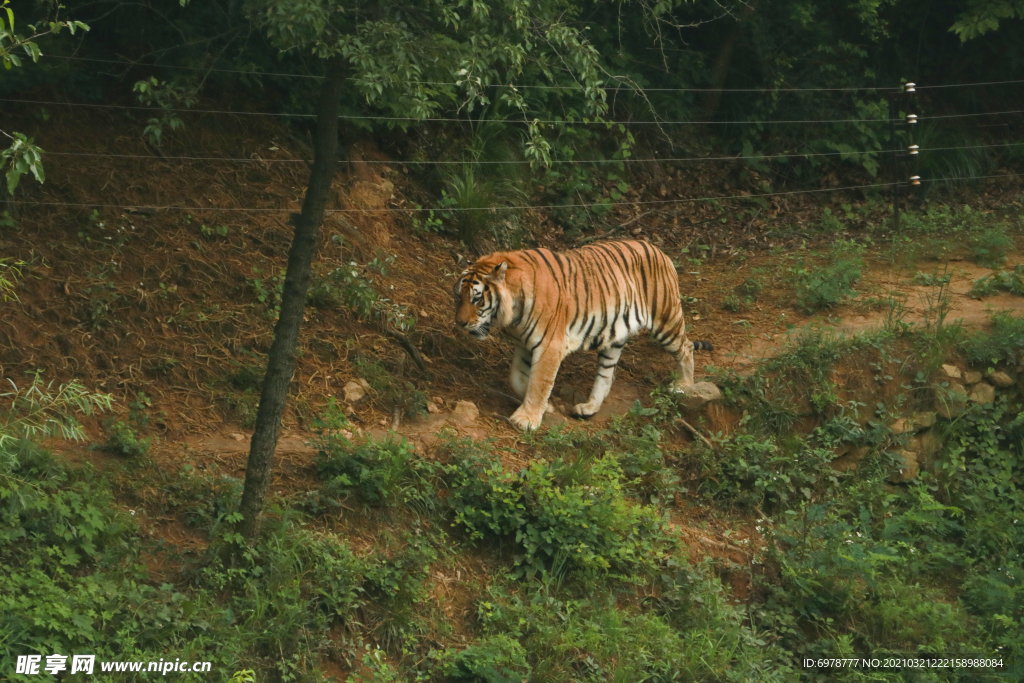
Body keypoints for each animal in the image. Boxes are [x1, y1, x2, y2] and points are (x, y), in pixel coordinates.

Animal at [453, 240, 713, 431]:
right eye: (459, 296)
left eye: (477, 299)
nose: (460, 323)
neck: (513, 313)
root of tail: (660, 251)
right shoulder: (525, 344)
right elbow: (518, 379)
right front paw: (545, 408)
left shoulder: (549, 345)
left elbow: (539, 382)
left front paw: (526, 420)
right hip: (614, 337)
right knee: (606, 375)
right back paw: (589, 407)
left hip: (665, 320)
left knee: (686, 347)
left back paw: (684, 386)